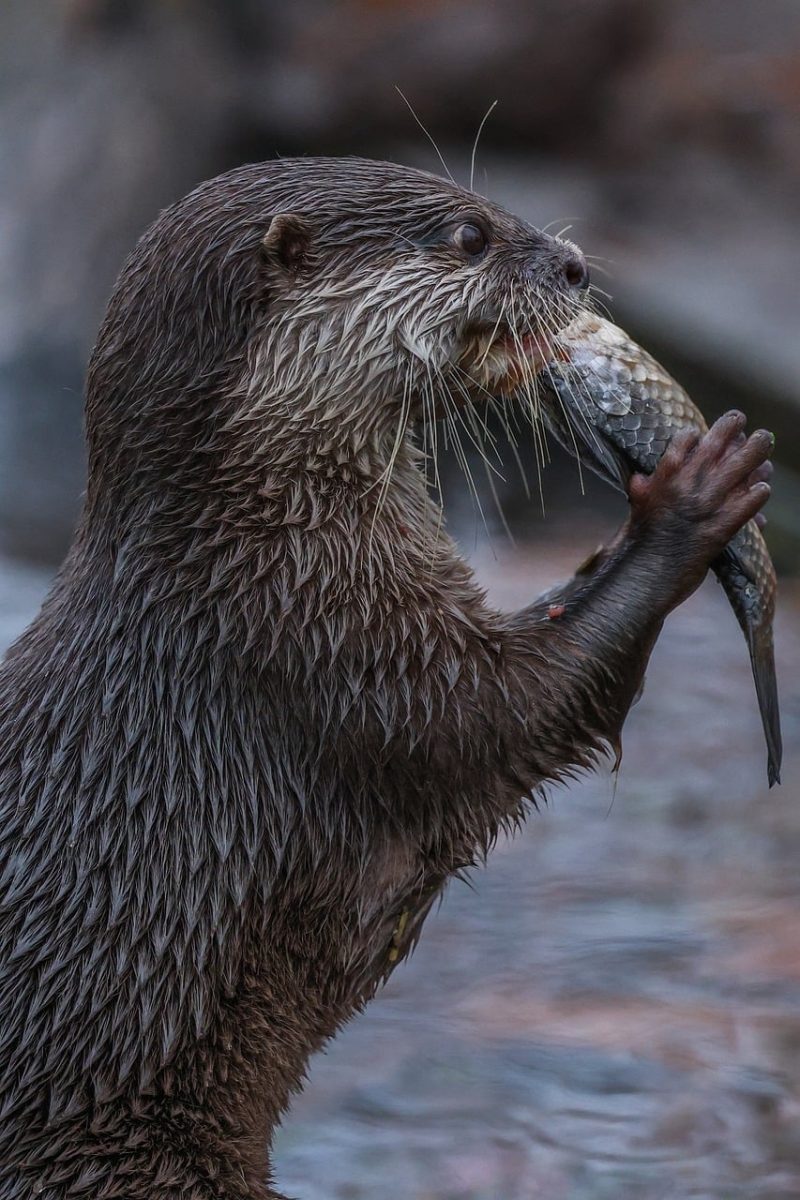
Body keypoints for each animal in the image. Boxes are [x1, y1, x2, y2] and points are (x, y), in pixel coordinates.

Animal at [0, 158, 773, 1198]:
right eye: (468, 237)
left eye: (481, 201)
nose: (573, 264)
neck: (251, 545)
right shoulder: (322, 650)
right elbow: (506, 716)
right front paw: (690, 500)